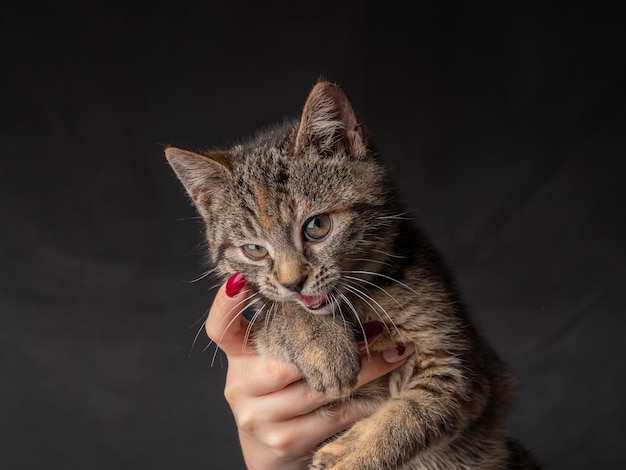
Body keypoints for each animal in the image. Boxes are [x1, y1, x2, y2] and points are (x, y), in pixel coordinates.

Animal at [165, 79, 536, 468]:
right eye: (254, 250)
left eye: (317, 226)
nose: (293, 283)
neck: (358, 302)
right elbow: (275, 310)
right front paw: (324, 346)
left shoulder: (458, 365)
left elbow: (412, 414)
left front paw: (349, 456)